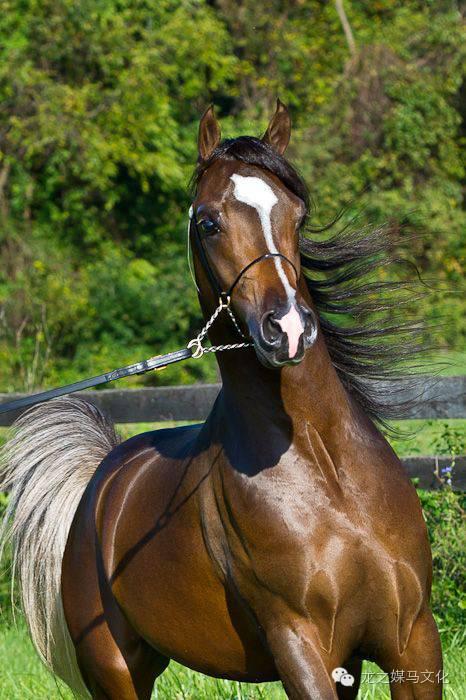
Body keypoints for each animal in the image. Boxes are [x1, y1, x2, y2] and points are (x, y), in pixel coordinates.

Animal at [0, 100, 442, 699]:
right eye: (208, 222)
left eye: (298, 214)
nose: (289, 329)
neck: (327, 472)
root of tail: (102, 478)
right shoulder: (300, 645)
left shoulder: (411, 637)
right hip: (116, 672)